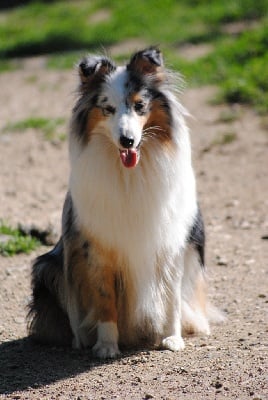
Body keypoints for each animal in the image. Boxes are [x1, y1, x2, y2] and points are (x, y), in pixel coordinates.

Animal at [27, 47, 218, 360]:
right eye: (108, 109)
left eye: (139, 106)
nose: (127, 141)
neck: (129, 175)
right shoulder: (97, 248)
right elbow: (105, 301)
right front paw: (106, 345)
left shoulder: (171, 244)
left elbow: (172, 297)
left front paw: (172, 337)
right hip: (48, 268)